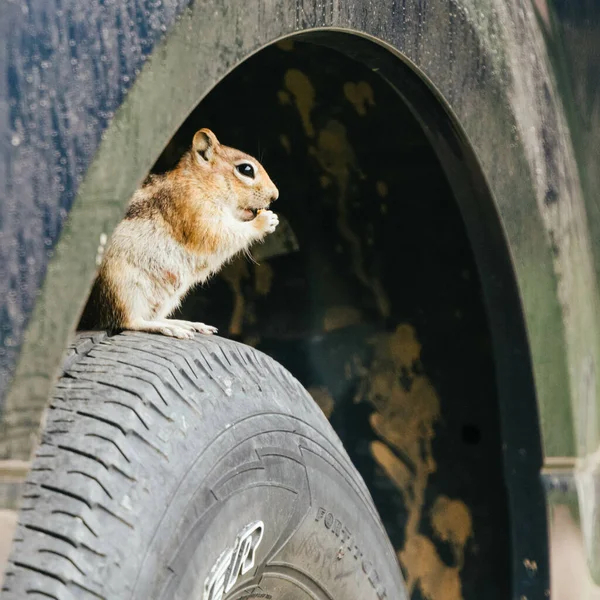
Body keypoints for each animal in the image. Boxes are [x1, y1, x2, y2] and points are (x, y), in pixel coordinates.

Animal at [77, 127, 278, 340]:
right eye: (246, 169)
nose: (275, 195)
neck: (200, 183)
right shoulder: (195, 211)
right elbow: (220, 235)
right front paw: (265, 221)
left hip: (169, 296)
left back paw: (184, 323)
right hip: (122, 287)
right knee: (129, 321)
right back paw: (168, 328)